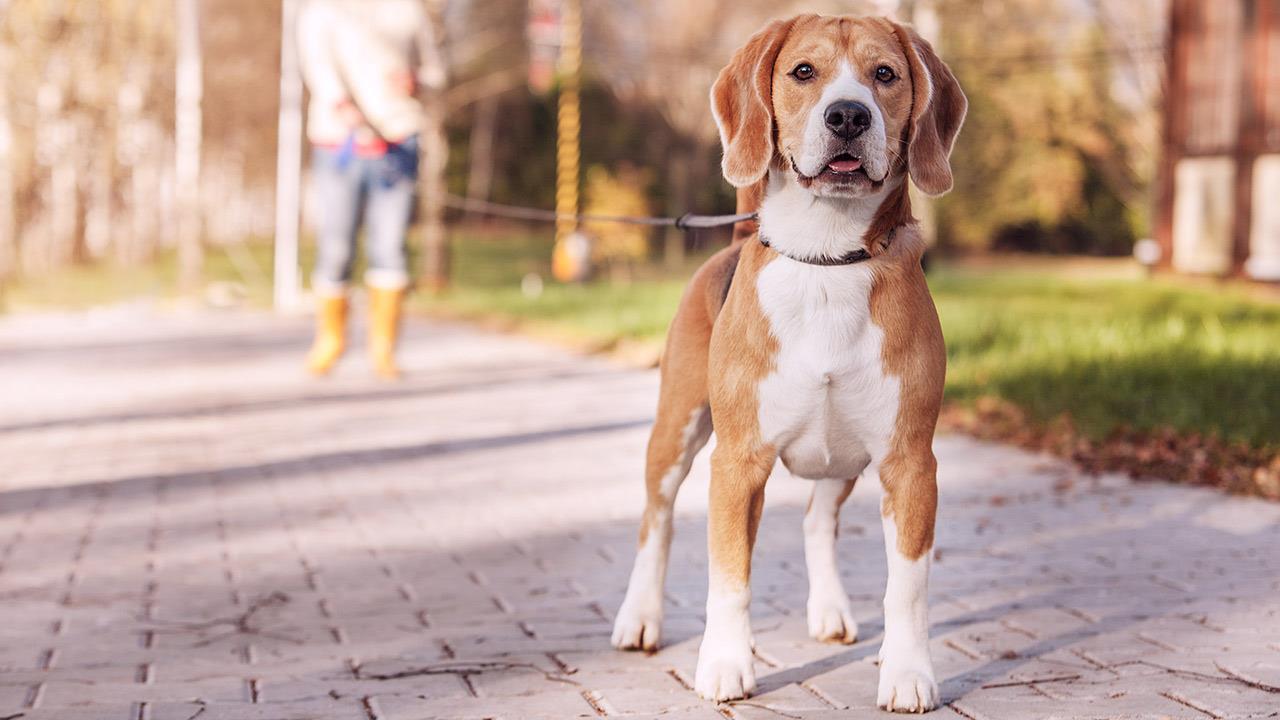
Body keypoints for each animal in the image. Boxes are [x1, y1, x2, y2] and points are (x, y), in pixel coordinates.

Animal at [614, 14, 962, 707]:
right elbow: (729, 576)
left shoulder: (911, 463)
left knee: (816, 520)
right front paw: (725, 665)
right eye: (804, 71)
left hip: (844, 456)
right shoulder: (738, 463)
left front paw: (908, 672)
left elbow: (907, 588)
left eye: (885, 73)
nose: (848, 115)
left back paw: (829, 611)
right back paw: (640, 617)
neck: (827, 258)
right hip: (676, 431)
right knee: (655, 523)